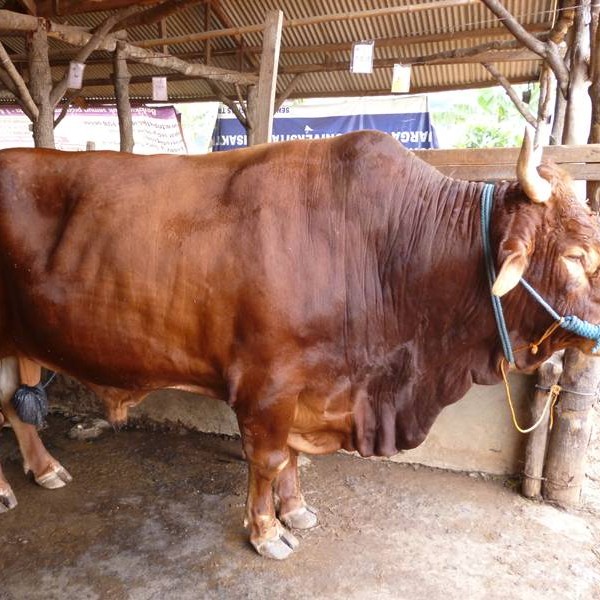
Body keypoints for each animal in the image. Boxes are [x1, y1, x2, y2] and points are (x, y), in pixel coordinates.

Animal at [1, 129, 600, 560]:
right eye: (576, 256)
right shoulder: (268, 383)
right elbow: (267, 458)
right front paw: (266, 531)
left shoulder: (309, 386)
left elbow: (290, 455)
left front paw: (295, 510)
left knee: (13, 405)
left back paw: (43, 469)